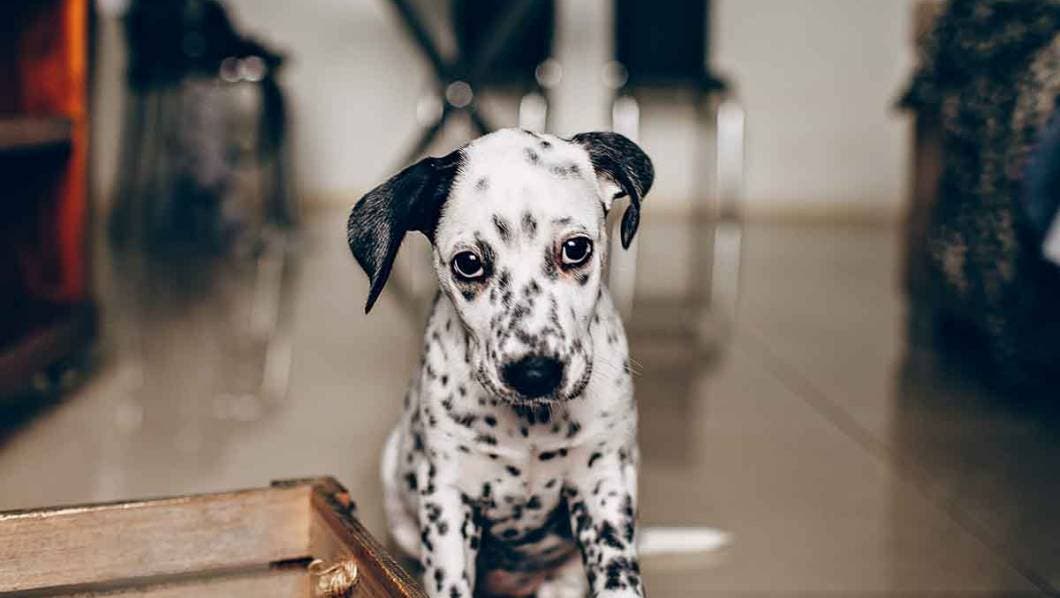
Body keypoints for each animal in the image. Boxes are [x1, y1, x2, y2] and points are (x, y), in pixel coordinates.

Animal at [347, 128, 653, 597]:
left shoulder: (603, 483)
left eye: (576, 249)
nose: (534, 372)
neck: (531, 424)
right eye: (468, 263)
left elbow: (618, 572)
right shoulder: (449, 498)